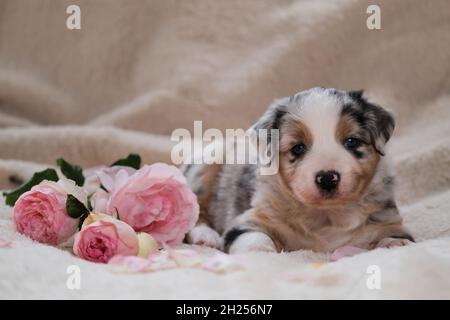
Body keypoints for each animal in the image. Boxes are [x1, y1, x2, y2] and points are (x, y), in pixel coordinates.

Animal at [181, 86, 414, 254]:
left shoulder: (388, 220)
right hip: (206, 165)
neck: (326, 216)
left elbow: (395, 237)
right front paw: (260, 253)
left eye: (351, 141)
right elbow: (254, 239)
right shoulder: (250, 219)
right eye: (298, 148)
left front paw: (393, 245)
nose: (327, 178)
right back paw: (206, 236)